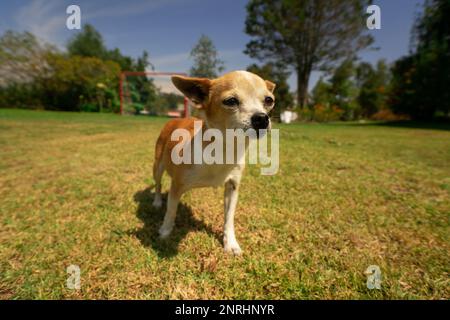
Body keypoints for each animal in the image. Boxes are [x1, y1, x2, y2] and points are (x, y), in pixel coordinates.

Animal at [153, 70, 276, 255]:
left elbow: (229, 218)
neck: (223, 149)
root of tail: (174, 119)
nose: (262, 118)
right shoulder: (176, 186)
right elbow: (171, 210)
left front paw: (230, 243)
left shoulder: (232, 187)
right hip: (158, 166)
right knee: (158, 183)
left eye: (269, 100)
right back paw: (157, 202)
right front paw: (165, 231)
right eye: (231, 101)